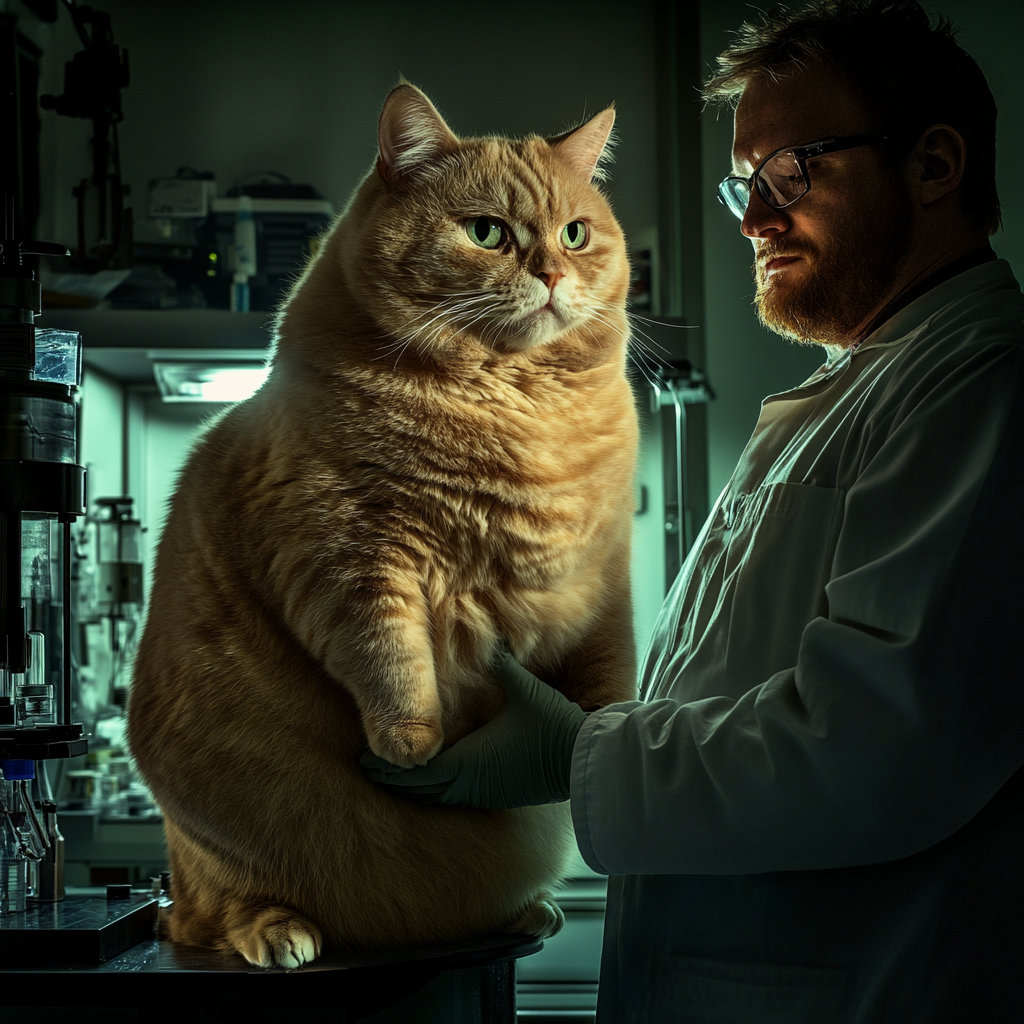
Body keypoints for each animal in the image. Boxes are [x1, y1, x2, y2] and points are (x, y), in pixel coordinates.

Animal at [128, 81, 638, 966]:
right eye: (486, 233)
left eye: (576, 233)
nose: (550, 271)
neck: (516, 410)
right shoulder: (347, 553)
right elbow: (388, 656)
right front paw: (414, 747)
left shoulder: (604, 574)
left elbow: (609, 670)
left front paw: (593, 730)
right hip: (209, 843)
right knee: (211, 911)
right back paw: (279, 931)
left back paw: (525, 912)